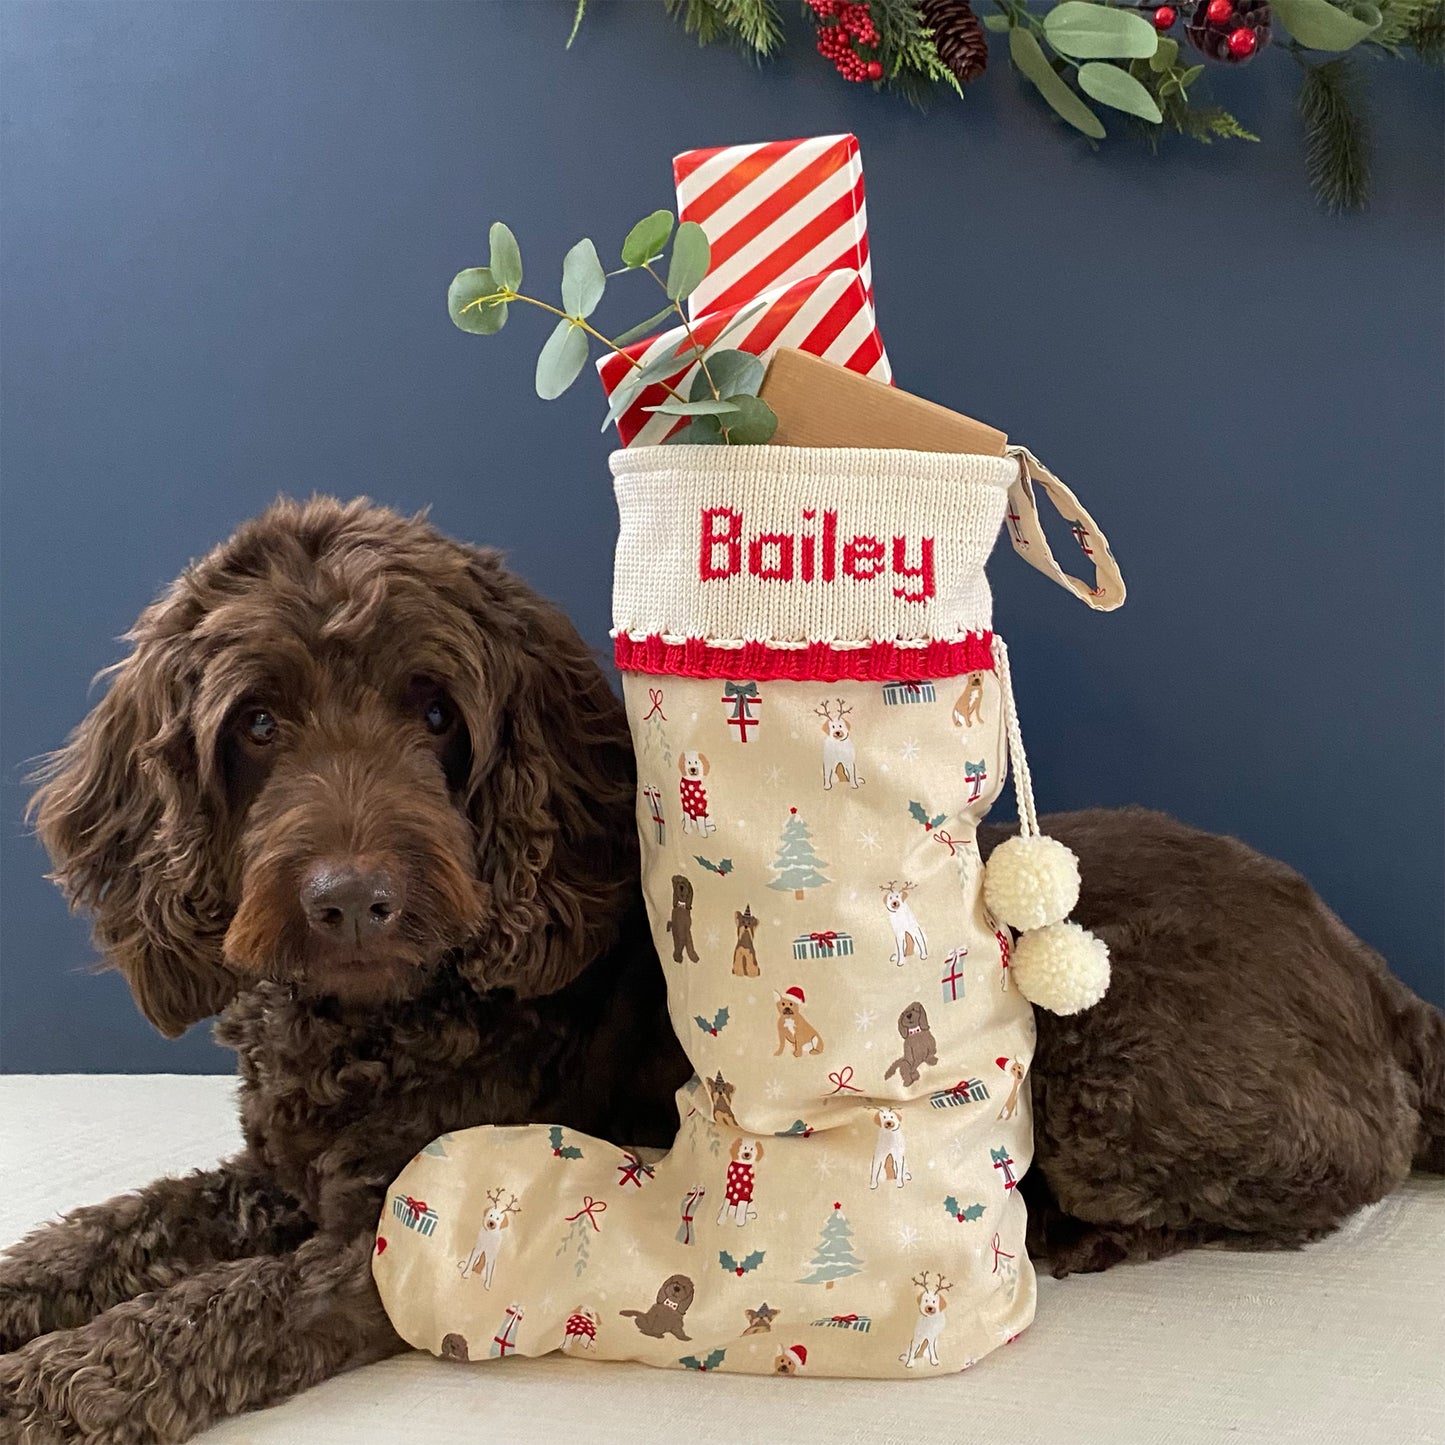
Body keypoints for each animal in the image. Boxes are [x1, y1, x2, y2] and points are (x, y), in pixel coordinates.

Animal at [0, 494, 687, 1433]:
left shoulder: (396, 1241)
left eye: (436, 714)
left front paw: (37, 1388)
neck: (361, 1030)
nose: (353, 899)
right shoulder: (277, 1177)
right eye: (256, 723)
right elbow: (109, 1227)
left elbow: (216, 1307)